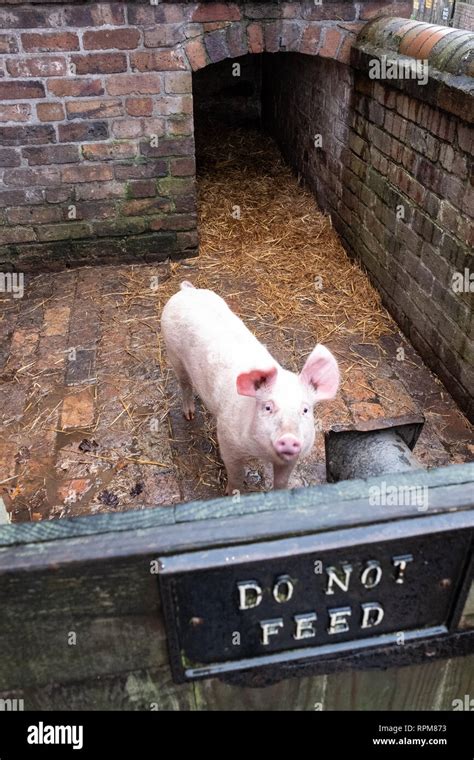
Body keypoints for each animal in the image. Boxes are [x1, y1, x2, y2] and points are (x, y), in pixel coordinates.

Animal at [161, 284, 338, 492]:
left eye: (305, 410)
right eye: (267, 407)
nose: (289, 438)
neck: (261, 453)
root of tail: (187, 290)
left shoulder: (292, 458)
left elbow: (281, 482)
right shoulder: (227, 441)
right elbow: (236, 475)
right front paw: (231, 493)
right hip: (173, 352)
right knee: (185, 383)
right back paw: (189, 415)